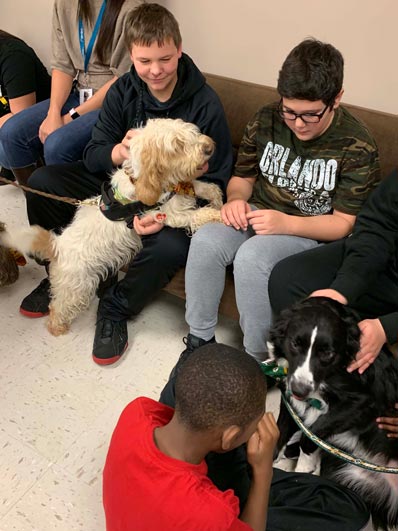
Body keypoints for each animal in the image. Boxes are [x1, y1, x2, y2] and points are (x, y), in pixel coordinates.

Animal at [1, 120, 222, 336]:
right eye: (177, 145)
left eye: (191, 132)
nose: (210, 147)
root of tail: (57, 246)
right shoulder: (170, 215)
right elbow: (198, 215)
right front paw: (221, 215)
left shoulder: (183, 189)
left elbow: (205, 187)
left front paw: (219, 200)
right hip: (78, 288)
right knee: (58, 307)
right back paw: (57, 328)